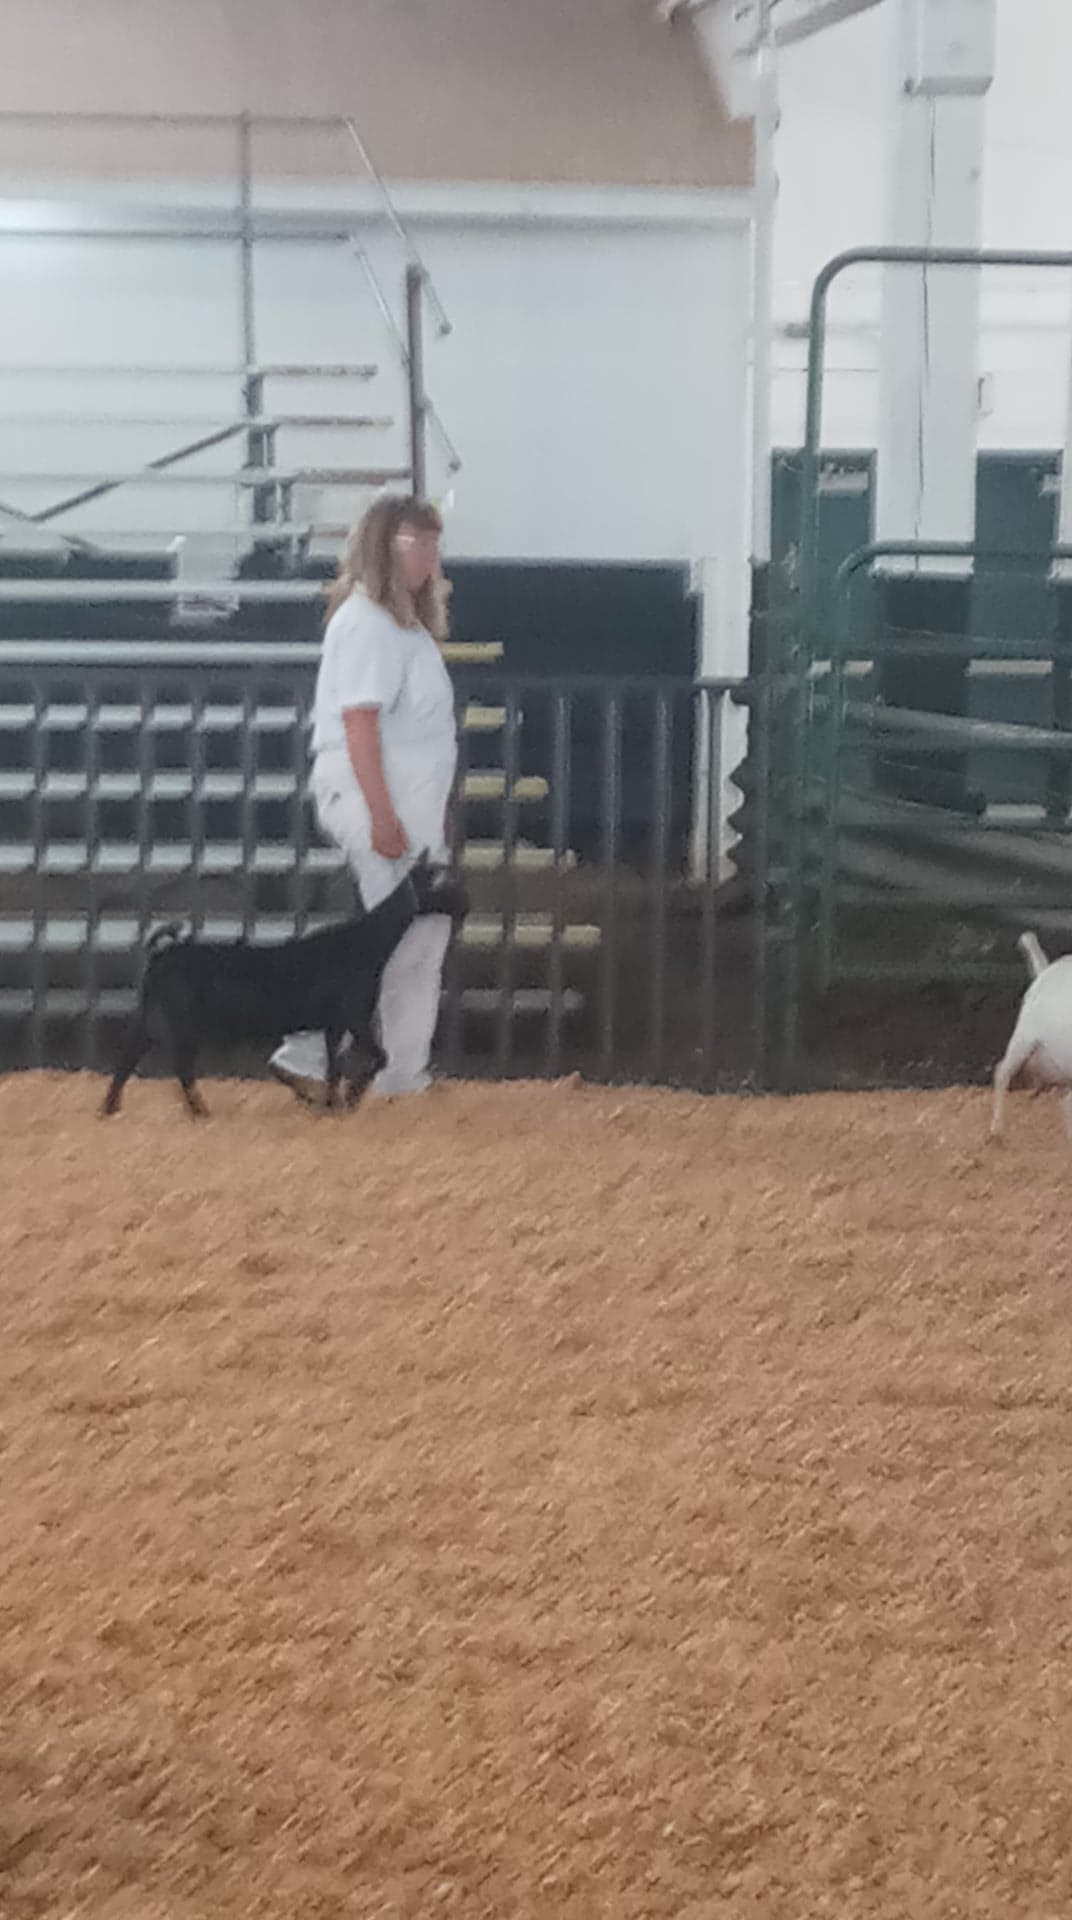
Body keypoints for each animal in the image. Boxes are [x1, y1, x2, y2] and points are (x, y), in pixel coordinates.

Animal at [101, 854, 469, 1119]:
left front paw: (331, 1103)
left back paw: (111, 1107)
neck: (367, 943)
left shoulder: (335, 1024)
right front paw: (351, 1098)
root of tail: (162, 952)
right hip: (183, 1019)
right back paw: (199, 1111)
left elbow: (333, 1067)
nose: (466, 905)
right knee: (180, 1065)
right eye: (440, 879)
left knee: (130, 1054)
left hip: (155, 1014)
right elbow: (380, 1056)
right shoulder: (355, 1016)